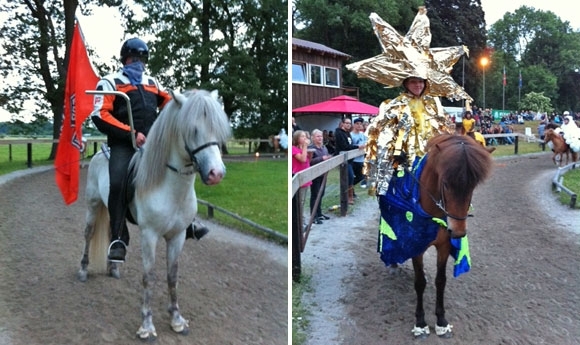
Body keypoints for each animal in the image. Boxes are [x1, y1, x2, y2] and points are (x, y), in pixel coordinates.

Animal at [77, 88, 231, 338]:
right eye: (193, 129)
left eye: (218, 128)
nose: (216, 173)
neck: (170, 187)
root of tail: (100, 153)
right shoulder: (149, 235)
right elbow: (149, 277)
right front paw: (147, 325)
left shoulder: (178, 236)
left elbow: (172, 276)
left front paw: (177, 319)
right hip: (93, 206)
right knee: (88, 235)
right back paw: (82, 270)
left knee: (113, 232)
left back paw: (113, 265)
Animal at [378, 133, 492, 338]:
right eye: (445, 183)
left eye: (473, 186)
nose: (458, 231)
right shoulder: (416, 246)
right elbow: (420, 282)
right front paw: (420, 323)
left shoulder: (444, 246)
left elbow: (441, 281)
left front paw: (441, 321)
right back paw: (393, 263)